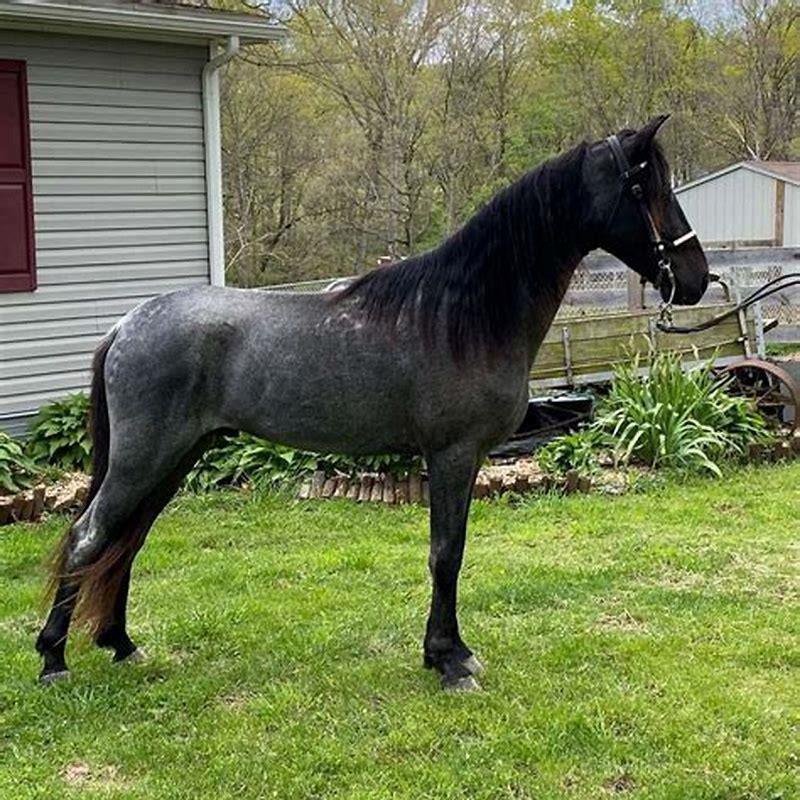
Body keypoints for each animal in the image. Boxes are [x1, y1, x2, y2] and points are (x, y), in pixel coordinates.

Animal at [37, 115, 709, 691]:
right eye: (645, 184)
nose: (697, 277)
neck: (465, 314)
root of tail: (125, 326)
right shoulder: (452, 455)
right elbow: (446, 554)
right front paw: (448, 661)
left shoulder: (464, 460)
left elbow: (451, 552)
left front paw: (450, 652)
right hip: (144, 459)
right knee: (88, 537)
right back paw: (52, 659)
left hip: (174, 460)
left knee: (125, 542)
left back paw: (120, 644)